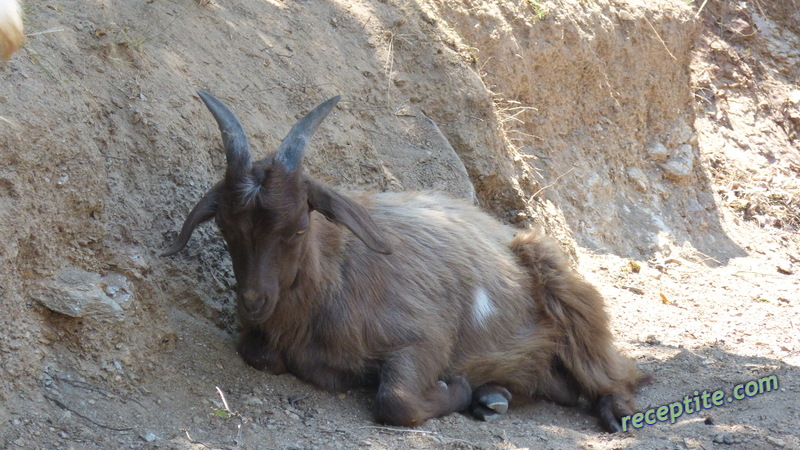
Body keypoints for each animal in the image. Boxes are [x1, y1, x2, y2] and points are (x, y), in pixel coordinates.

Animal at [164, 91, 648, 432]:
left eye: (299, 227)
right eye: (226, 228)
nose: (253, 302)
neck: (335, 274)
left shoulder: (424, 336)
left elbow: (396, 400)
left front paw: (456, 387)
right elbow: (256, 351)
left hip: (563, 286)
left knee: (617, 373)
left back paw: (616, 413)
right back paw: (494, 397)